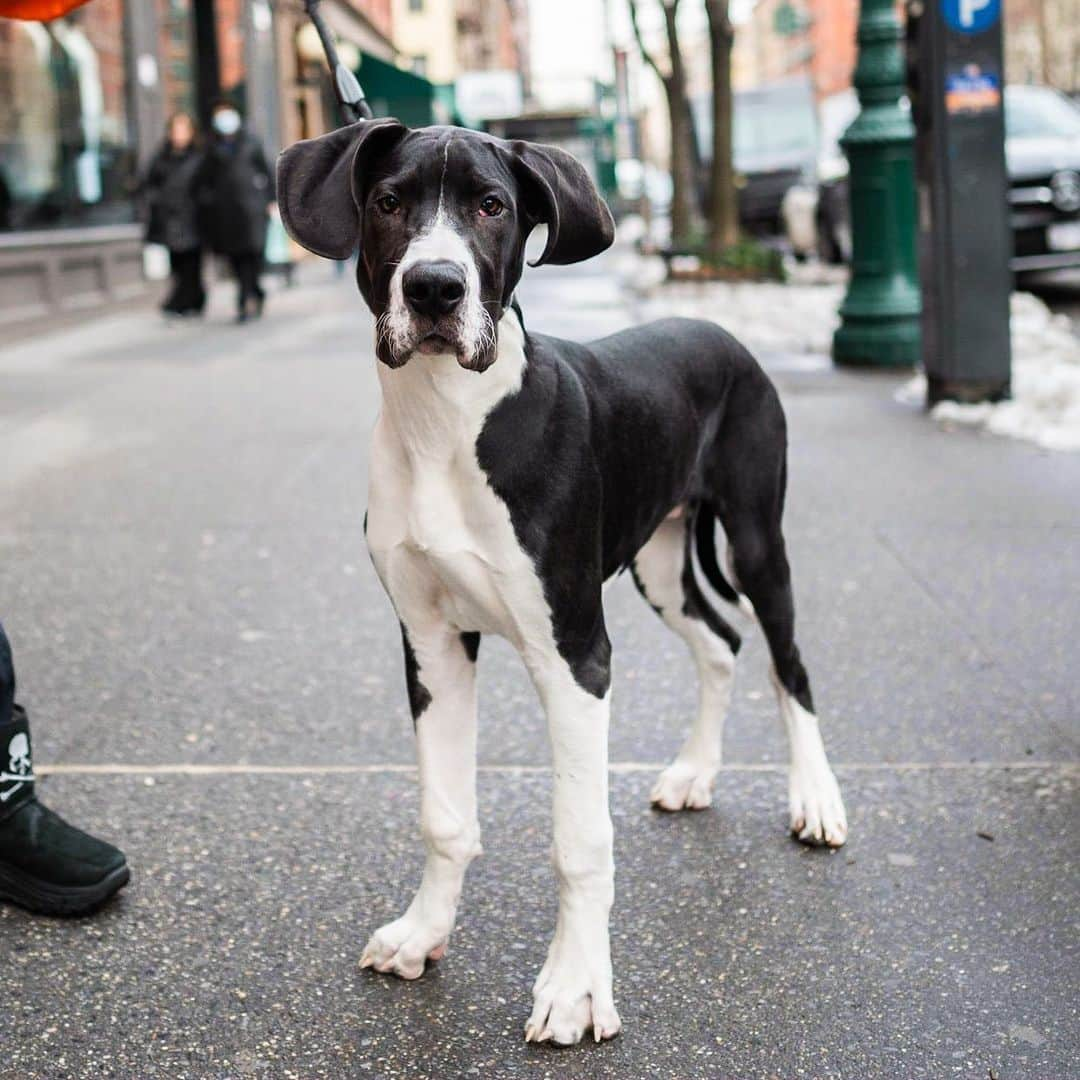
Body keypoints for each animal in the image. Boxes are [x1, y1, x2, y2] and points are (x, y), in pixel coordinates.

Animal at [274, 118, 846, 1045]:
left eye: (492, 205)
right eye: (389, 201)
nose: (434, 288)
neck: (446, 421)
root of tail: (718, 330)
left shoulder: (575, 654)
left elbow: (578, 841)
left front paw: (576, 987)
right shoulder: (432, 645)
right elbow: (444, 815)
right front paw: (423, 933)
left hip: (759, 539)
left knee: (785, 661)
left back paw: (818, 801)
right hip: (658, 560)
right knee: (720, 641)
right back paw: (694, 773)